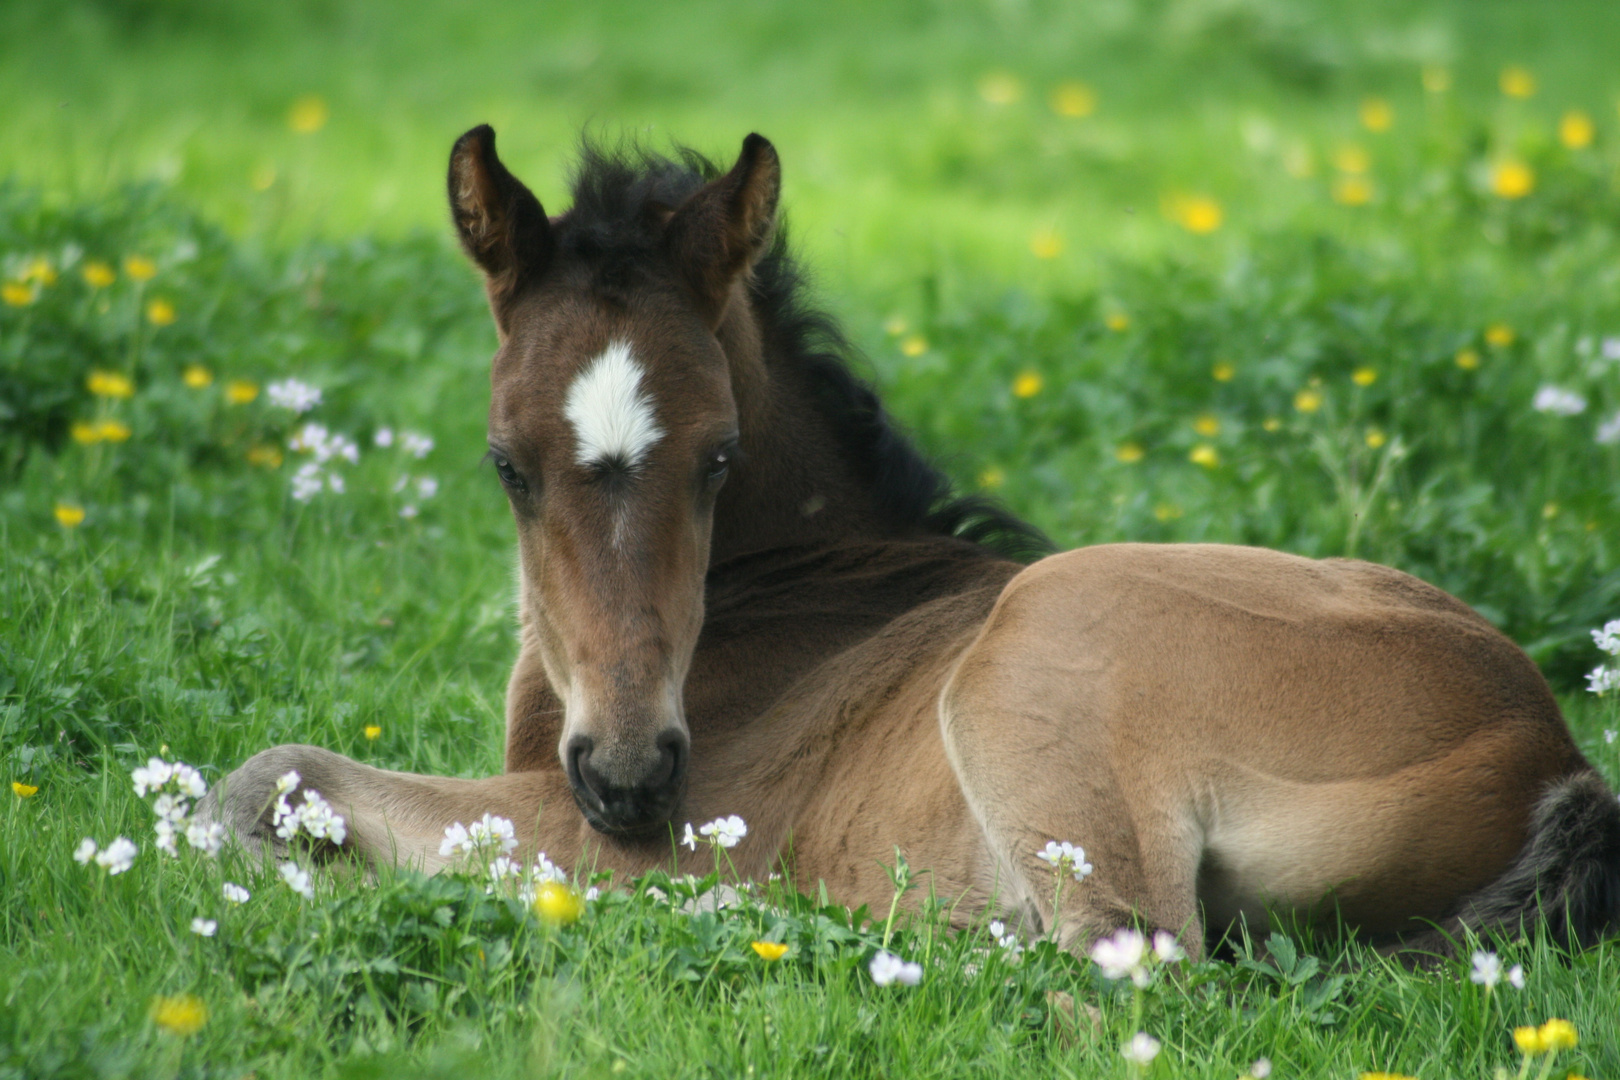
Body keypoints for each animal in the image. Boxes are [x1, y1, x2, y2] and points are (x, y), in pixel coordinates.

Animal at [202, 128, 1620, 952]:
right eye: (507, 465)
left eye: (719, 458)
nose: (634, 776)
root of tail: (1545, 750)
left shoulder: (578, 823)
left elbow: (273, 775)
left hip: (1050, 649)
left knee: (1126, 970)